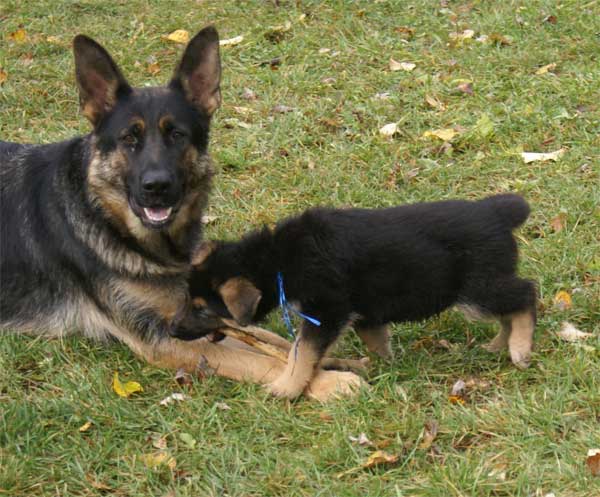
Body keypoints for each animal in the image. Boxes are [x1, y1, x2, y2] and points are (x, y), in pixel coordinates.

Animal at [1, 26, 360, 400]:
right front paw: (327, 381)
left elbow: (269, 339)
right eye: (129, 138)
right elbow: (256, 358)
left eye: (177, 134)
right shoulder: (159, 337)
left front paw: (331, 360)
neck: (110, 220)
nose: (156, 186)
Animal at [185, 195, 536, 400]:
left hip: (477, 290)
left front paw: (285, 388)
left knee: (526, 294)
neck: (277, 259)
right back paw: (498, 346)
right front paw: (381, 364)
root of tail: (498, 212)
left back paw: (519, 349)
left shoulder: (326, 311)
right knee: (510, 308)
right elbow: (375, 340)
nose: (175, 330)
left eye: (202, 310)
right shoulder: (365, 311)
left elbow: (301, 352)